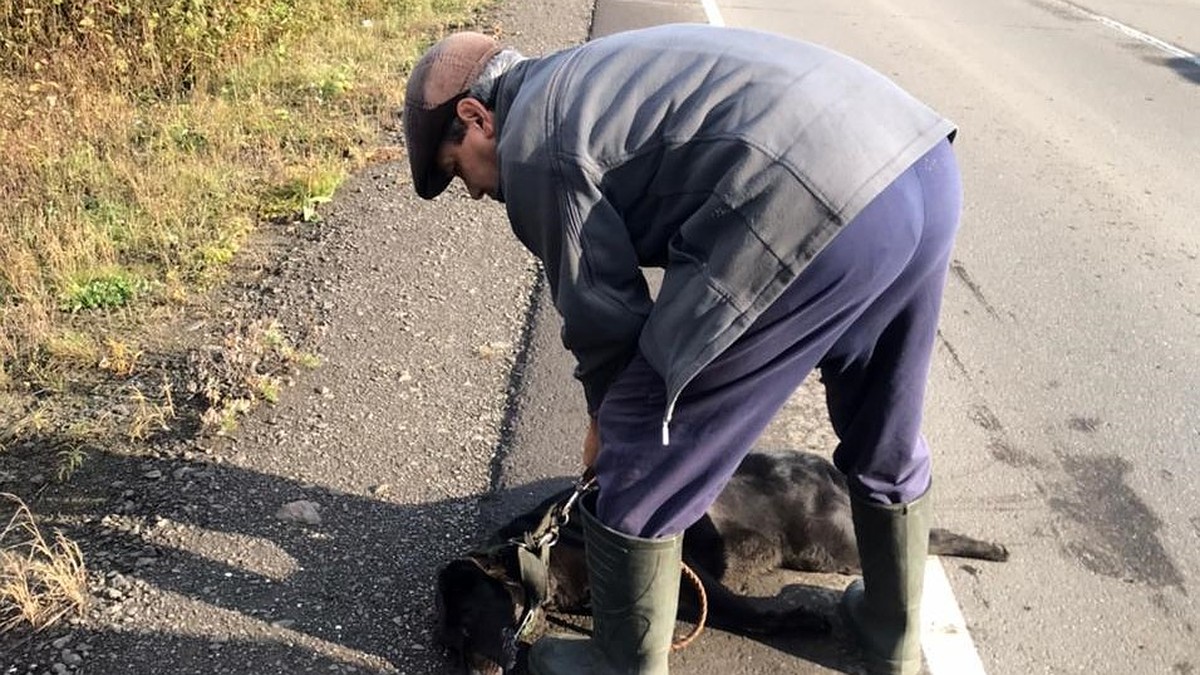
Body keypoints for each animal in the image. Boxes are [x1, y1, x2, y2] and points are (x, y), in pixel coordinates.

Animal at [436, 446, 1008, 672]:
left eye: (465, 625)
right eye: (449, 646)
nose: (468, 673)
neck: (540, 550)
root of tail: (826, 467)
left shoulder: (697, 581)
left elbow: (745, 613)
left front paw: (798, 620)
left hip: (836, 546)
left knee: (930, 536)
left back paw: (991, 548)